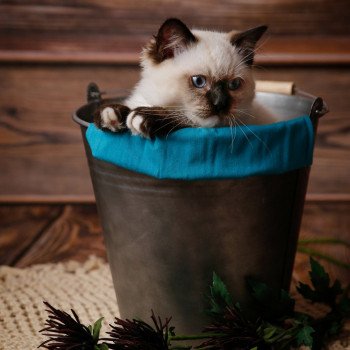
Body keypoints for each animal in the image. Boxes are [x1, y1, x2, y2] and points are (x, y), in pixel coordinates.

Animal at [95, 18, 274, 137]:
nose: (220, 104)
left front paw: (142, 116)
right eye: (199, 81)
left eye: (234, 84)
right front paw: (111, 114)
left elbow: (184, 119)